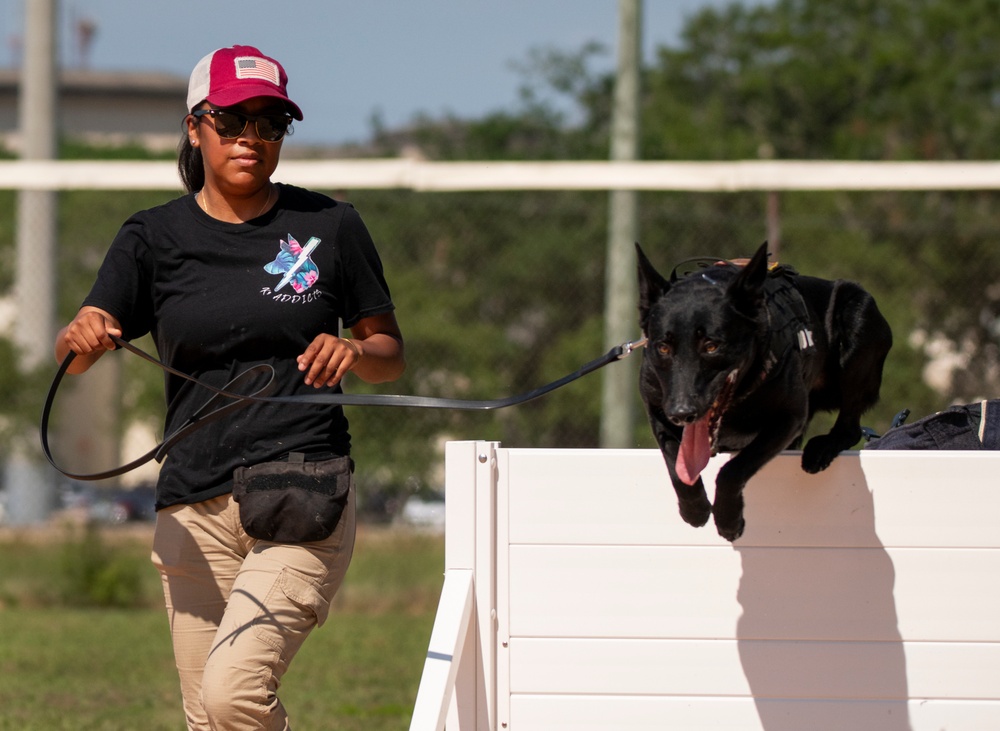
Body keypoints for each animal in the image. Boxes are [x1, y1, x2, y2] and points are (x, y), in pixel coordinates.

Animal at [636, 243, 896, 540]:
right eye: (663, 347)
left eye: (711, 346)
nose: (682, 413)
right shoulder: (657, 410)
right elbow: (676, 466)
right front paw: (695, 510)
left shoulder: (788, 419)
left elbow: (732, 470)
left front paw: (728, 519)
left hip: (857, 317)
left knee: (849, 427)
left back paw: (823, 448)